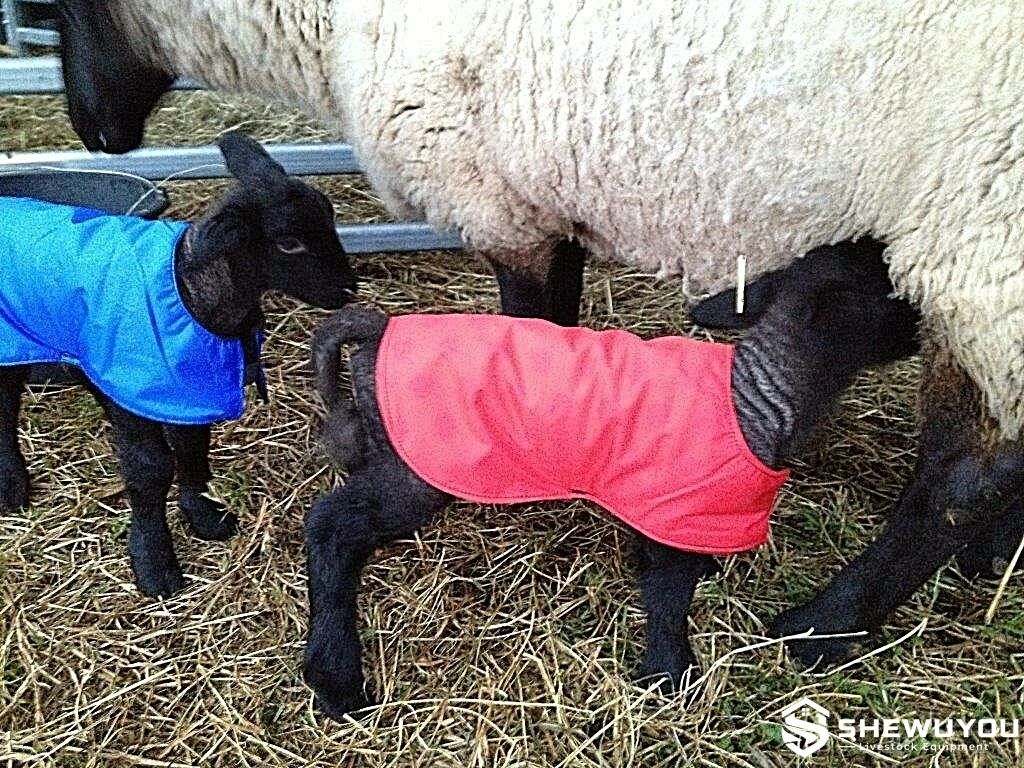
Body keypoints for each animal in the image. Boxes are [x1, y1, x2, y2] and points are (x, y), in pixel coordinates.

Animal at [0, 131, 356, 598]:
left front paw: (204, 516)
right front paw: (155, 565)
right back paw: (10, 485)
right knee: (5, 408)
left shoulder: (188, 389)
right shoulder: (136, 392)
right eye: (288, 243)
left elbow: (192, 449)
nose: (349, 289)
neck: (191, 295)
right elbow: (150, 470)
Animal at [54, 0, 1024, 664]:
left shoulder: (500, 201)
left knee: (961, 477)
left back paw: (823, 625)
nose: (95, 133)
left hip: (979, 254)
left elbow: (534, 324)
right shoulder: (547, 203)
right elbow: (557, 322)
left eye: (56, 8)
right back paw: (984, 563)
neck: (330, 25)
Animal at [303, 240, 920, 719]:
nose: (930, 323)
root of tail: (381, 328)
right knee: (331, 525)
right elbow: (669, 596)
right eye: (890, 289)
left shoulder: (664, 513)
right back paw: (336, 680)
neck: (754, 400)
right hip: (421, 466)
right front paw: (671, 676)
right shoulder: (675, 505)